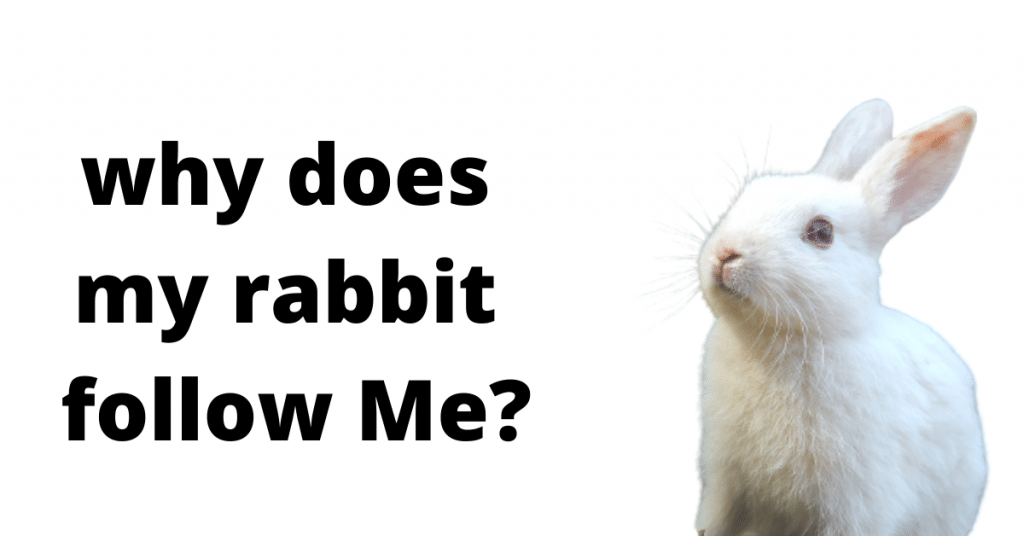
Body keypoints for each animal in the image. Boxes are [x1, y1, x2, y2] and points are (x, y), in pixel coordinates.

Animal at [694, 100, 987, 536]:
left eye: (821, 232)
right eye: (747, 194)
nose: (725, 254)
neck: (778, 339)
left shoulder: (853, 502)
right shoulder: (725, 482)